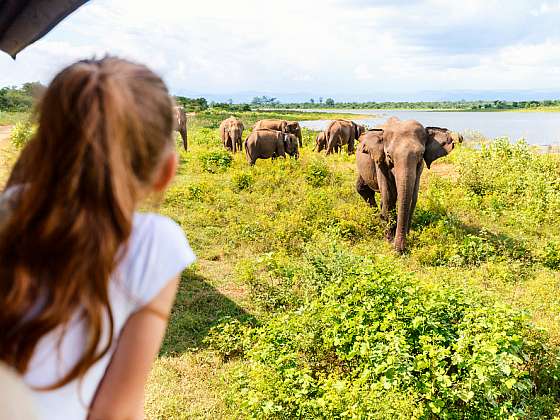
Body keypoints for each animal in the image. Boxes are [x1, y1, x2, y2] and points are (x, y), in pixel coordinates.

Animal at [354, 116, 464, 251]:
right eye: (388, 155)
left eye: (421, 155)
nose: (399, 250)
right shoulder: (380, 162)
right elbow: (389, 196)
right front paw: (389, 240)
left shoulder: (419, 168)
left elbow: (412, 196)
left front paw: (404, 236)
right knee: (363, 189)